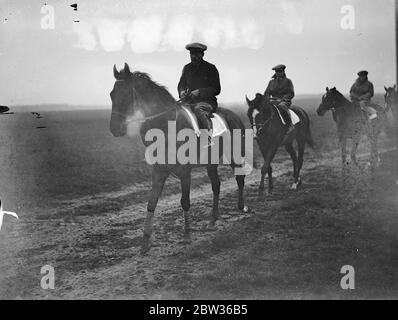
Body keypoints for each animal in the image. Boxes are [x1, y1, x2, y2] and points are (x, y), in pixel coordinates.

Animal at [110, 62, 250, 252]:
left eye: (125, 94)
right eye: (111, 95)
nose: (114, 129)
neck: (166, 127)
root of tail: (235, 116)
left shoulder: (185, 173)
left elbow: (185, 201)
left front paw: (187, 235)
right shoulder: (158, 172)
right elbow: (151, 202)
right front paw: (145, 242)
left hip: (234, 155)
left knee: (239, 179)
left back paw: (241, 207)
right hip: (211, 164)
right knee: (216, 185)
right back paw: (213, 219)